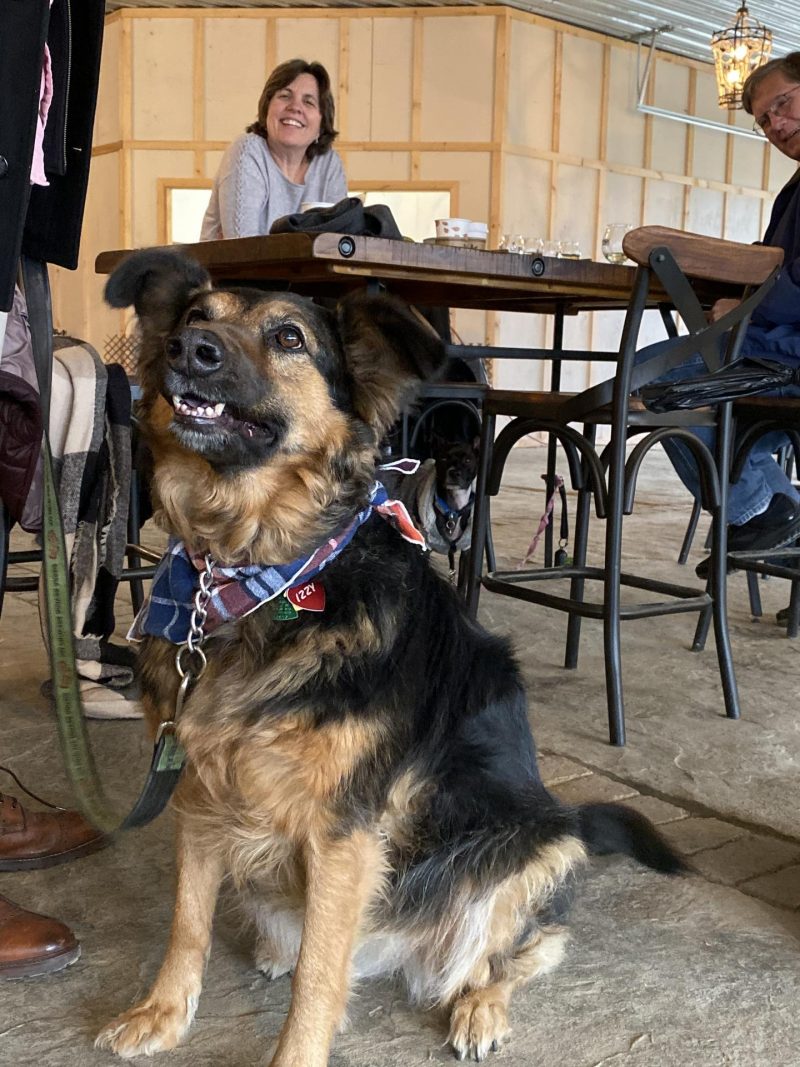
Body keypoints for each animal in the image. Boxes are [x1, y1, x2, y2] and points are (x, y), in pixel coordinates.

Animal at [93, 245, 682, 1062]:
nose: (189, 350)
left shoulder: (343, 830)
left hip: (543, 846)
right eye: (194, 317)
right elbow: (188, 919)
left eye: (289, 338)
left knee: (525, 946)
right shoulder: (198, 788)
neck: (260, 572)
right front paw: (162, 1012)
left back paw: (480, 1005)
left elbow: (320, 975)